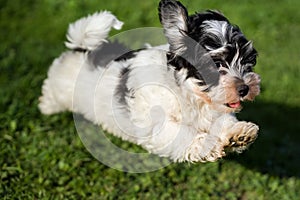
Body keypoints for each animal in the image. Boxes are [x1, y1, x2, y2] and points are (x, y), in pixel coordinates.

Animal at [39, 0, 260, 162]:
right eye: (217, 63)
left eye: (248, 61)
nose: (244, 88)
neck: (189, 92)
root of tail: (84, 49)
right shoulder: (158, 124)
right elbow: (183, 134)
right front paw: (210, 144)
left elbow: (224, 121)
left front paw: (238, 134)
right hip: (60, 90)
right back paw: (45, 107)